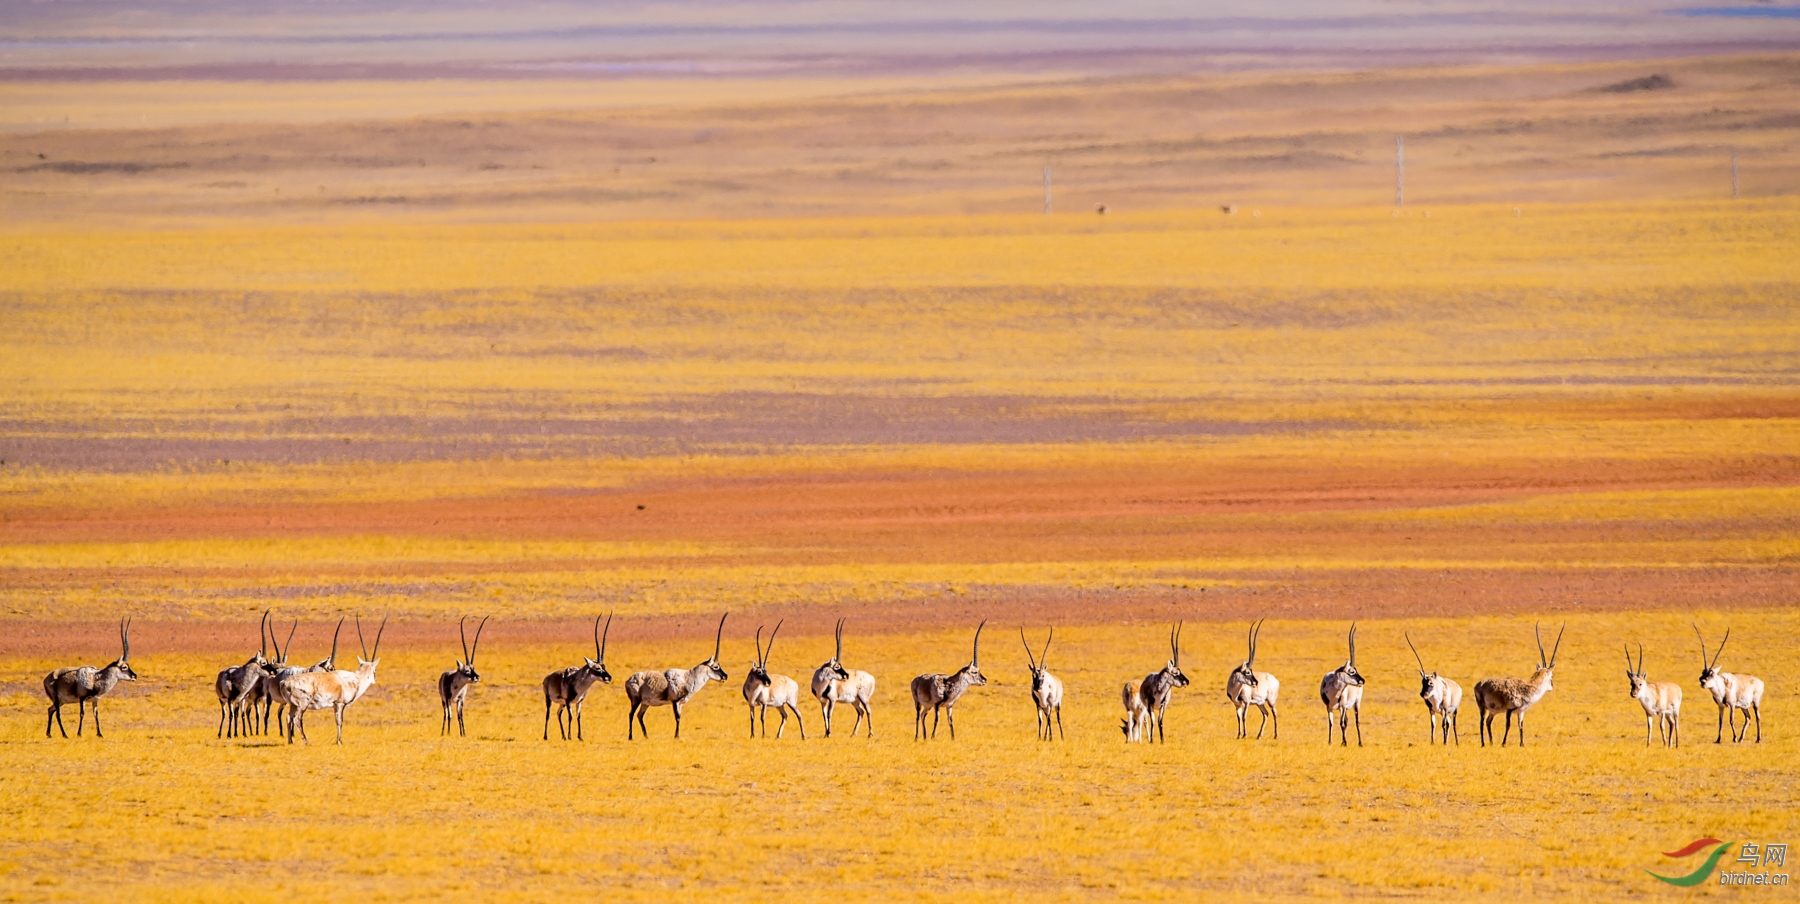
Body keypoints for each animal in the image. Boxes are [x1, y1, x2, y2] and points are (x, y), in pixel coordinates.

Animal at [279, 615, 385, 749]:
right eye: (374, 670)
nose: (374, 680)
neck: (354, 679)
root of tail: (284, 683)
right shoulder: (340, 704)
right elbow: (339, 721)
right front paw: (339, 741)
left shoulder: (334, 705)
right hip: (302, 704)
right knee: (296, 719)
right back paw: (307, 742)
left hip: (293, 705)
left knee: (288, 717)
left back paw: (290, 741)